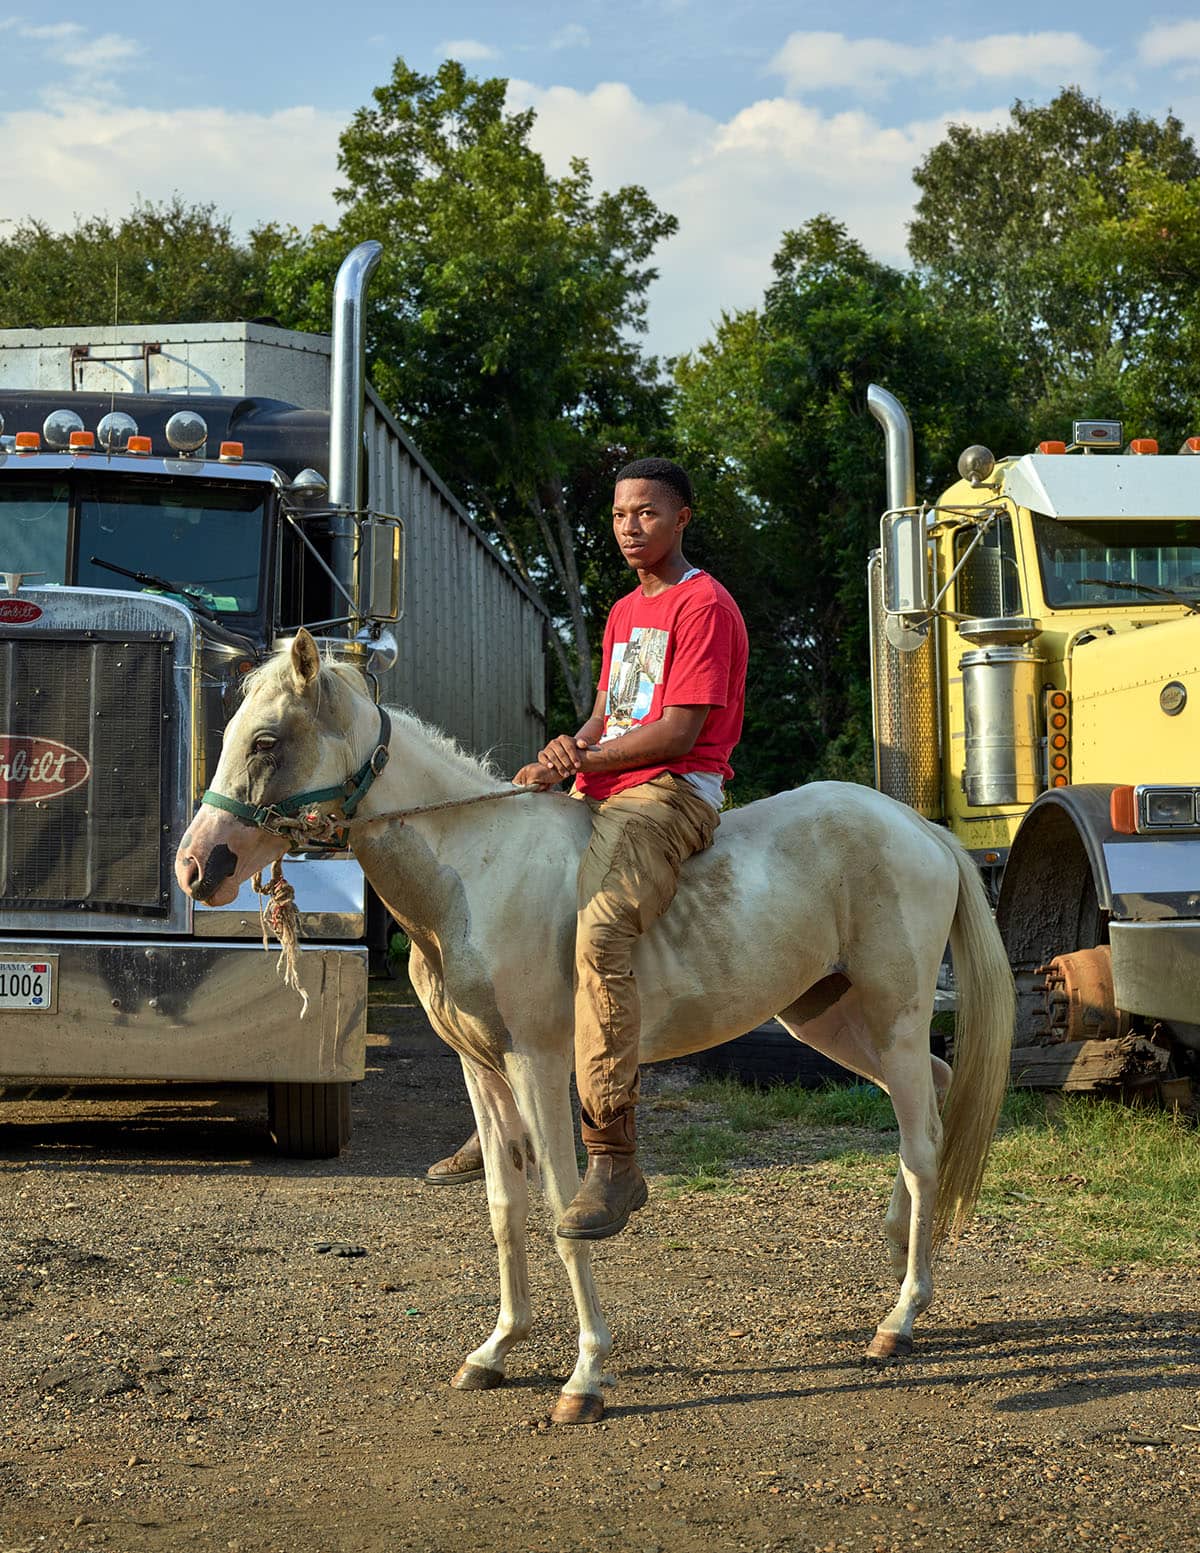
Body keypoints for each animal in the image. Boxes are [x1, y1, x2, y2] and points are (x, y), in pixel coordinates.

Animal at [177, 630, 1012, 1422]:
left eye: (265, 740)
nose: (195, 866)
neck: (473, 869)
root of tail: (922, 830)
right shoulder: (480, 1068)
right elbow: (505, 1205)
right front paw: (495, 1349)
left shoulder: (540, 1062)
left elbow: (559, 1204)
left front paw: (584, 1374)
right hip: (830, 1018)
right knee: (929, 1102)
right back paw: (901, 1256)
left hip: (895, 1016)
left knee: (922, 1144)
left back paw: (900, 1317)